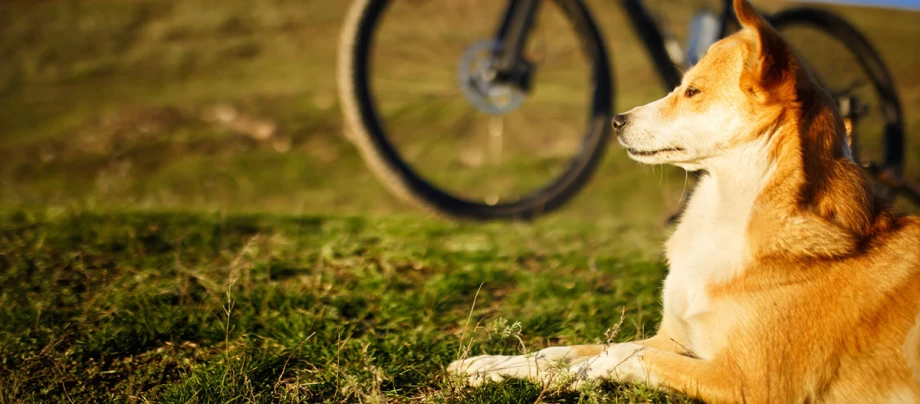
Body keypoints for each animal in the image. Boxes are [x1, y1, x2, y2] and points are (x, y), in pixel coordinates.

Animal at [450, 1, 920, 402]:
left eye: (693, 92)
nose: (616, 120)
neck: (729, 210)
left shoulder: (751, 382)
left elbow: (615, 354)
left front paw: (574, 376)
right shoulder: (673, 340)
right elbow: (567, 351)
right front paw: (490, 364)